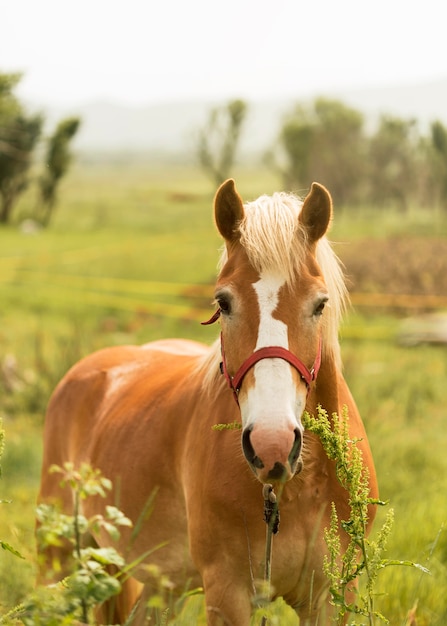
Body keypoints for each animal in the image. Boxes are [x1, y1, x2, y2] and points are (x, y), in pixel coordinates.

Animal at [37, 178, 378, 620]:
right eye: (223, 302)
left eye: (320, 304)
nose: (272, 445)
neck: (296, 490)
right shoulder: (228, 593)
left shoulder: (331, 597)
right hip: (58, 555)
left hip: (162, 586)